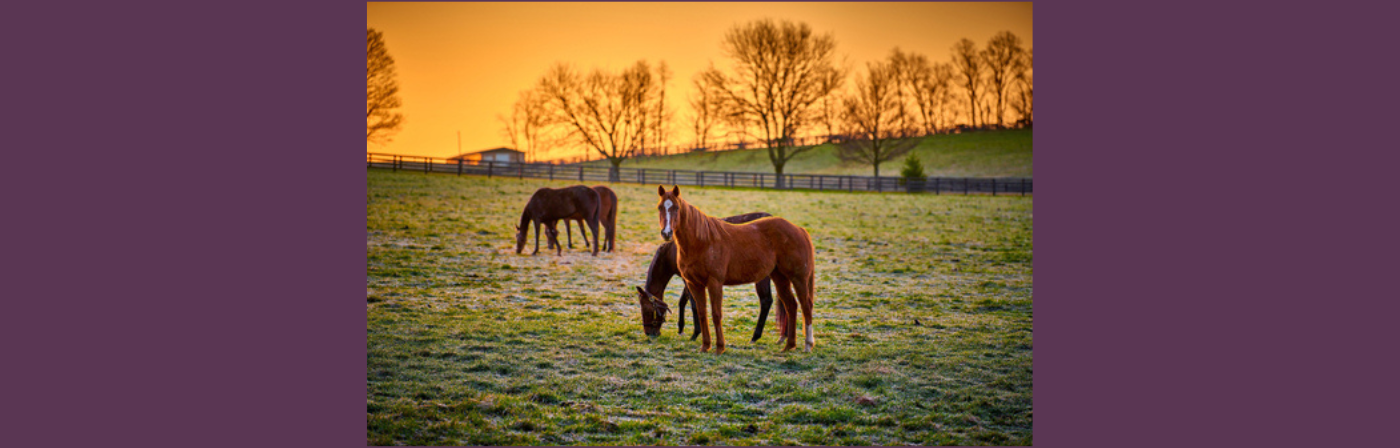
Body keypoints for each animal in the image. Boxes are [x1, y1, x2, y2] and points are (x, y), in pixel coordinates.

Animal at [635, 211, 789, 341]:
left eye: (646, 309)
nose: (649, 333)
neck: (672, 251)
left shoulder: (689, 280)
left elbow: (694, 304)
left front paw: (695, 333)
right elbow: (683, 301)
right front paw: (681, 328)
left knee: (766, 301)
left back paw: (756, 336)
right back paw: (784, 335)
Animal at [655, 184, 817, 352]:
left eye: (676, 207)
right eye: (660, 207)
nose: (666, 233)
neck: (702, 241)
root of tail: (799, 229)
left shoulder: (715, 283)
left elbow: (716, 314)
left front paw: (720, 347)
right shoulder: (694, 284)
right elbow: (701, 313)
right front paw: (705, 346)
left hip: (798, 278)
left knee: (806, 306)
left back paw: (807, 345)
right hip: (780, 278)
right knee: (791, 306)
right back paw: (789, 345)